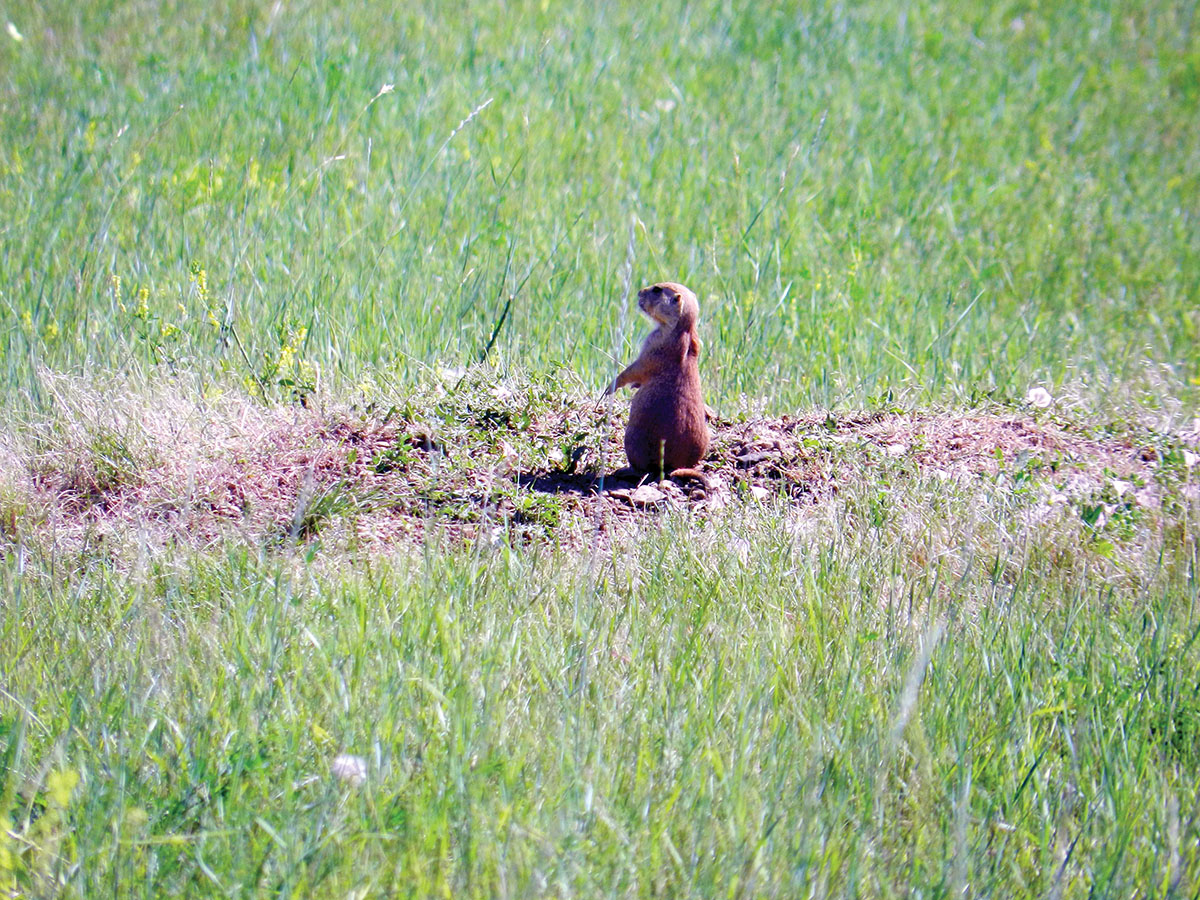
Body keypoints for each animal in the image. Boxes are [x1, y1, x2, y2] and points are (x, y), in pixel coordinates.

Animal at [605, 282, 710, 482]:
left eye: (657, 290)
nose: (639, 292)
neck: (683, 329)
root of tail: (674, 467)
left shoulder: (653, 345)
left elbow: (637, 368)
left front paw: (612, 386)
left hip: (632, 440)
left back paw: (625, 471)